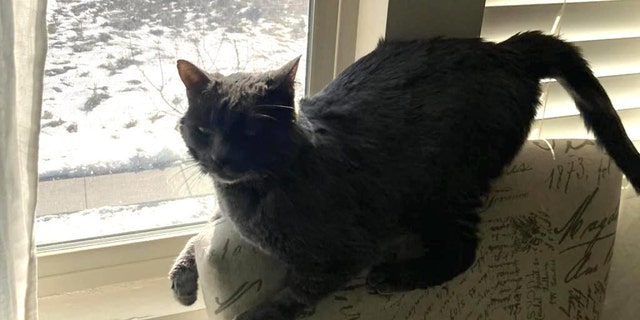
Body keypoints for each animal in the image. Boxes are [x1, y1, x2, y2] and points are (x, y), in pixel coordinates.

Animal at [169, 31, 640, 320]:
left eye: (250, 132)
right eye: (204, 130)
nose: (220, 158)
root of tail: (506, 50)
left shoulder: (343, 253)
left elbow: (294, 294)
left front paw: (257, 311)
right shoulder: (221, 214)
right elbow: (196, 232)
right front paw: (183, 280)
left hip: (448, 187)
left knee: (464, 252)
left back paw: (394, 276)